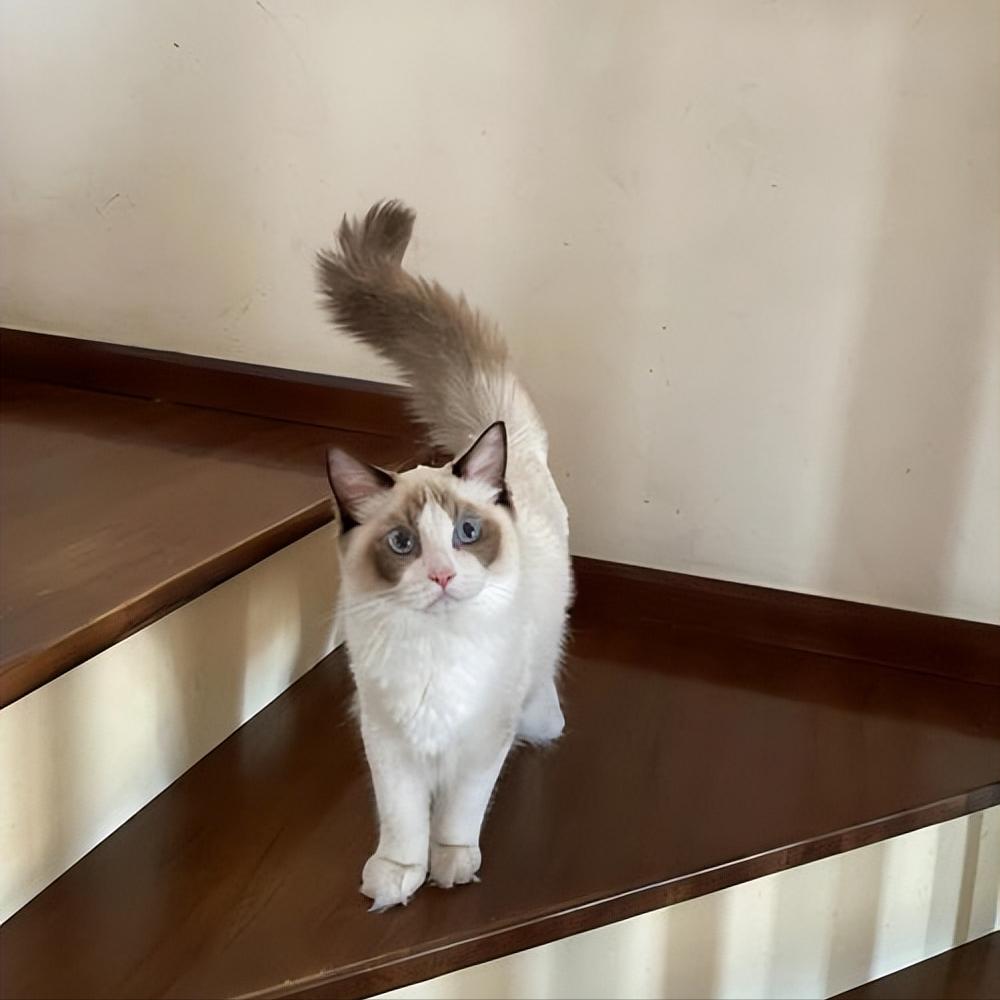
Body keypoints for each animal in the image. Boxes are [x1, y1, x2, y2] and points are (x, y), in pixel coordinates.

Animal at [316, 201, 572, 910]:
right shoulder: (390, 743)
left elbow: (459, 814)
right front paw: (397, 878)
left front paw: (451, 866)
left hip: (532, 698)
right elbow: (403, 820)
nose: (440, 575)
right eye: (403, 543)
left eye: (466, 532)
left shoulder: (482, 740)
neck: (434, 650)